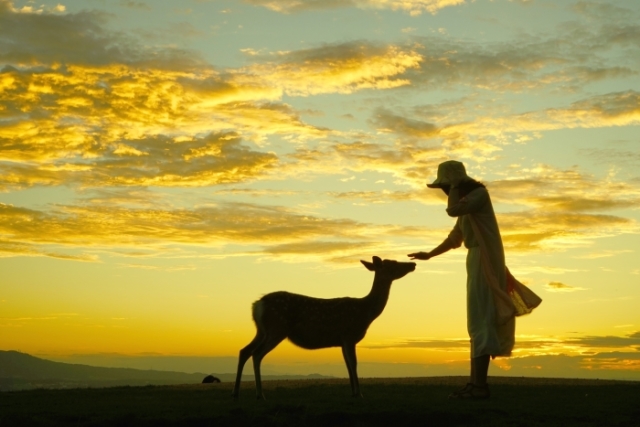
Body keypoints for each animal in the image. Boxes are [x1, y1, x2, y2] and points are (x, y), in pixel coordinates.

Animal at [232, 258, 418, 402]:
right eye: (392, 263)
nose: (412, 264)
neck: (366, 312)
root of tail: (257, 305)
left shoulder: (342, 341)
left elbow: (347, 365)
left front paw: (353, 393)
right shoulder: (349, 335)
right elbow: (353, 363)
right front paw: (359, 394)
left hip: (262, 330)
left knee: (244, 350)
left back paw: (236, 394)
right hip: (277, 328)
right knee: (256, 354)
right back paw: (260, 395)